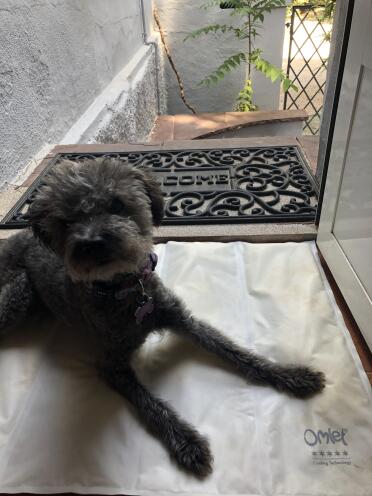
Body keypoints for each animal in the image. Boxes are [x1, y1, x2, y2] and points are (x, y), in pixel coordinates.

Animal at [0, 159, 324, 476]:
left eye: (117, 204)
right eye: (65, 222)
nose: (92, 243)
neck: (126, 291)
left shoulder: (183, 320)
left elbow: (233, 350)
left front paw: (290, 374)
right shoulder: (111, 365)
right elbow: (150, 403)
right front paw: (187, 441)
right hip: (18, 293)